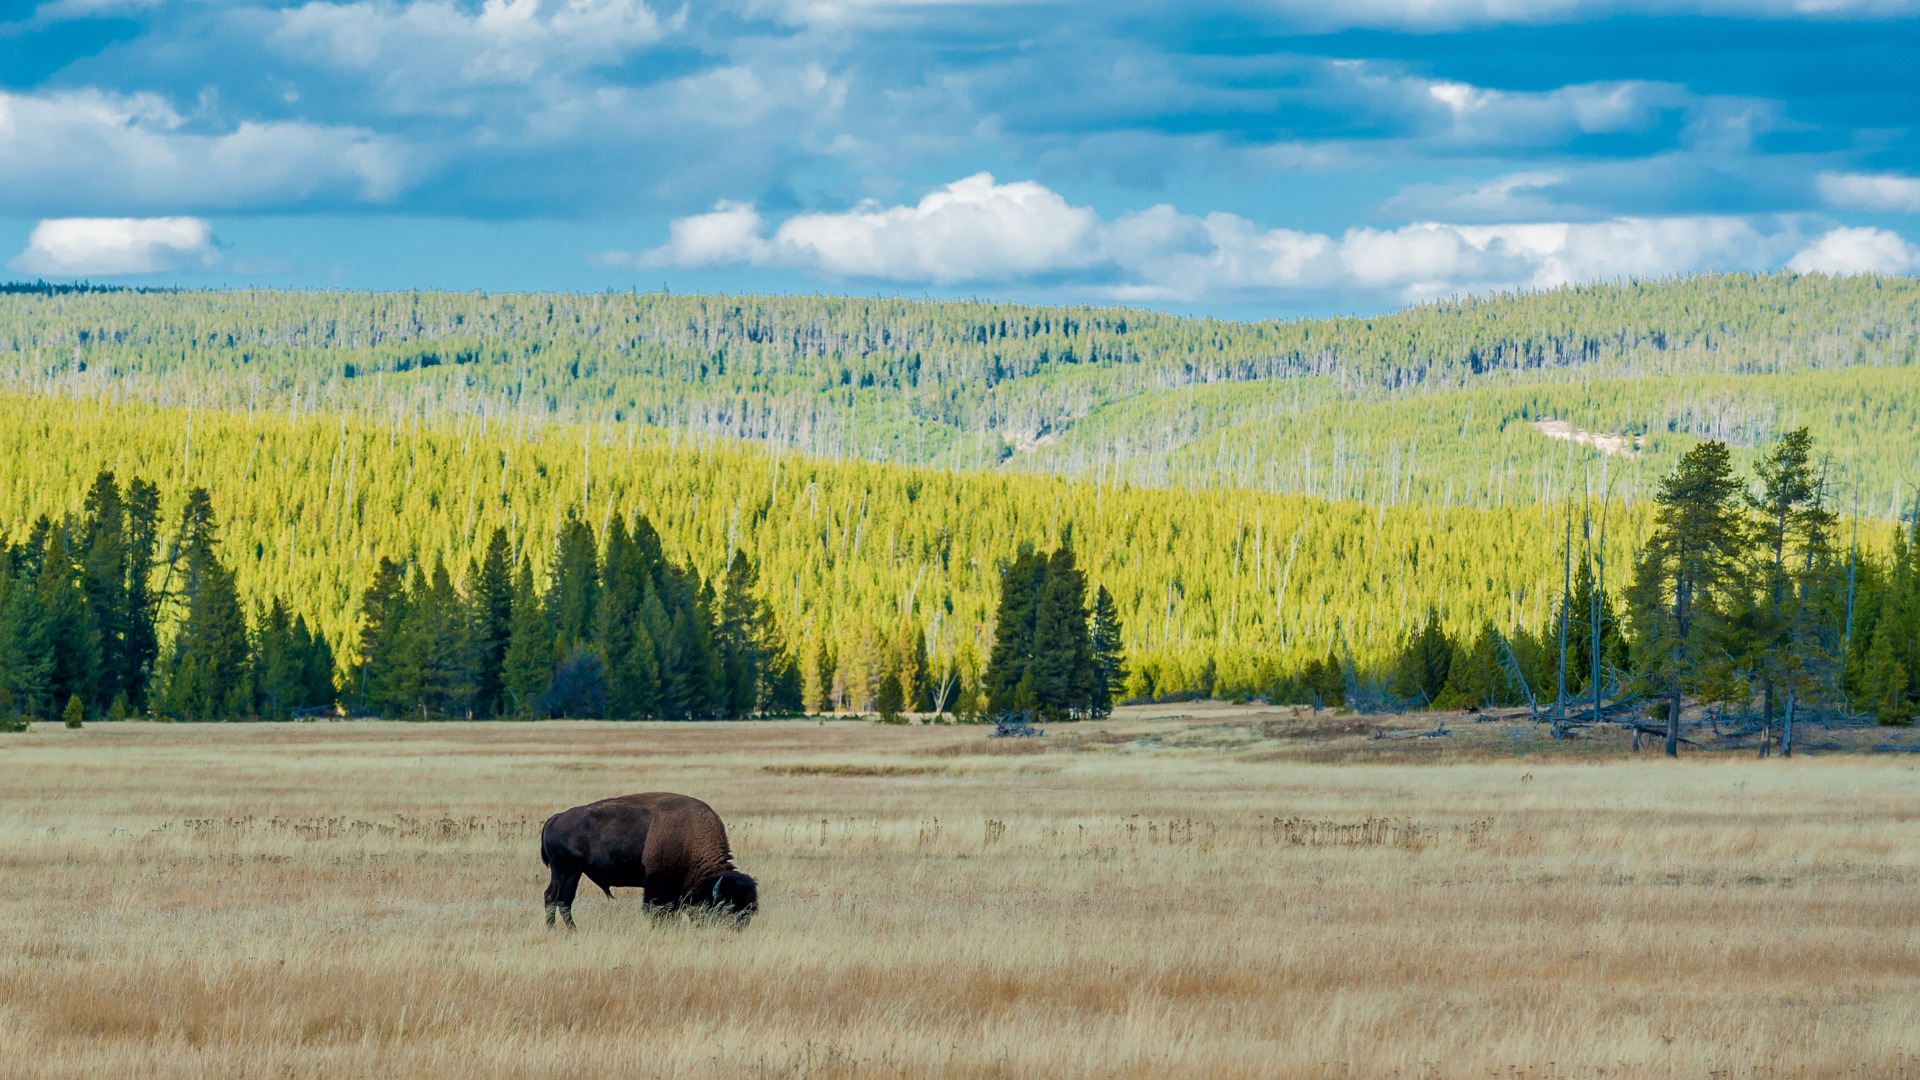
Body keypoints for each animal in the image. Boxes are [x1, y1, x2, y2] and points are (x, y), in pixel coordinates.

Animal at [541, 787, 756, 930]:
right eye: (727, 908)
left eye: (750, 910)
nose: (737, 930)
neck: (690, 837)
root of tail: (554, 818)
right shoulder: (657, 883)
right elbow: (657, 909)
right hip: (570, 872)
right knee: (564, 901)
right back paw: (573, 931)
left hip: (558, 873)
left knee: (550, 897)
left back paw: (552, 929)